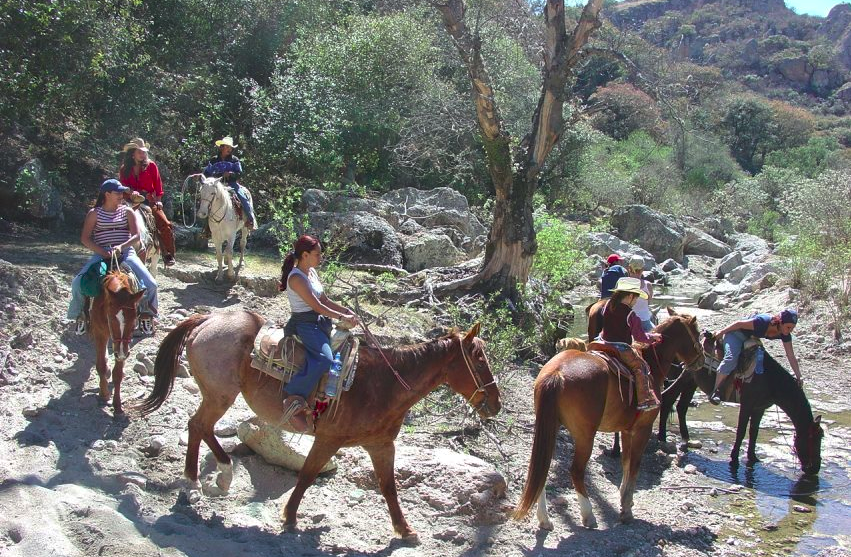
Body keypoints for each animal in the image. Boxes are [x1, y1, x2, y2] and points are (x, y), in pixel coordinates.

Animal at [88, 268, 145, 414]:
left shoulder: (123, 347)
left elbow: (118, 374)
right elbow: (101, 365)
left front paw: (117, 405)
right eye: (112, 318)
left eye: (134, 319)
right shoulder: (100, 334)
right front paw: (104, 394)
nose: (121, 353)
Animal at [136, 308, 502, 540]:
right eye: (478, 359)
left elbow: (388, 487)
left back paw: (205, 478)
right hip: (220, 394)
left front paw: (405, 530)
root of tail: (208, 319)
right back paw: (206, 479)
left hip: (217, 395)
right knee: (199, 425)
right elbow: (307, 475)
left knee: (198, 426)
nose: (496, 404)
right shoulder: (328, 439)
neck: (385, 384)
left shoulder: (381, 444)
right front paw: (290, 518)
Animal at [512, 310, 704, 528]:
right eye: (697, 332)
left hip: (550, 428)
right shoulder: (642, 429)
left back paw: (545, 519)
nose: (702, 360)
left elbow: (625, 462)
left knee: (542, 470)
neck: (651, 363)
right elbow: (634, 465)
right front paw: (626, 509)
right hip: (585, 436)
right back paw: (588, 515)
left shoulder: (626, 430)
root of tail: (556, 372)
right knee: (576, 471)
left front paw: (624, 498)